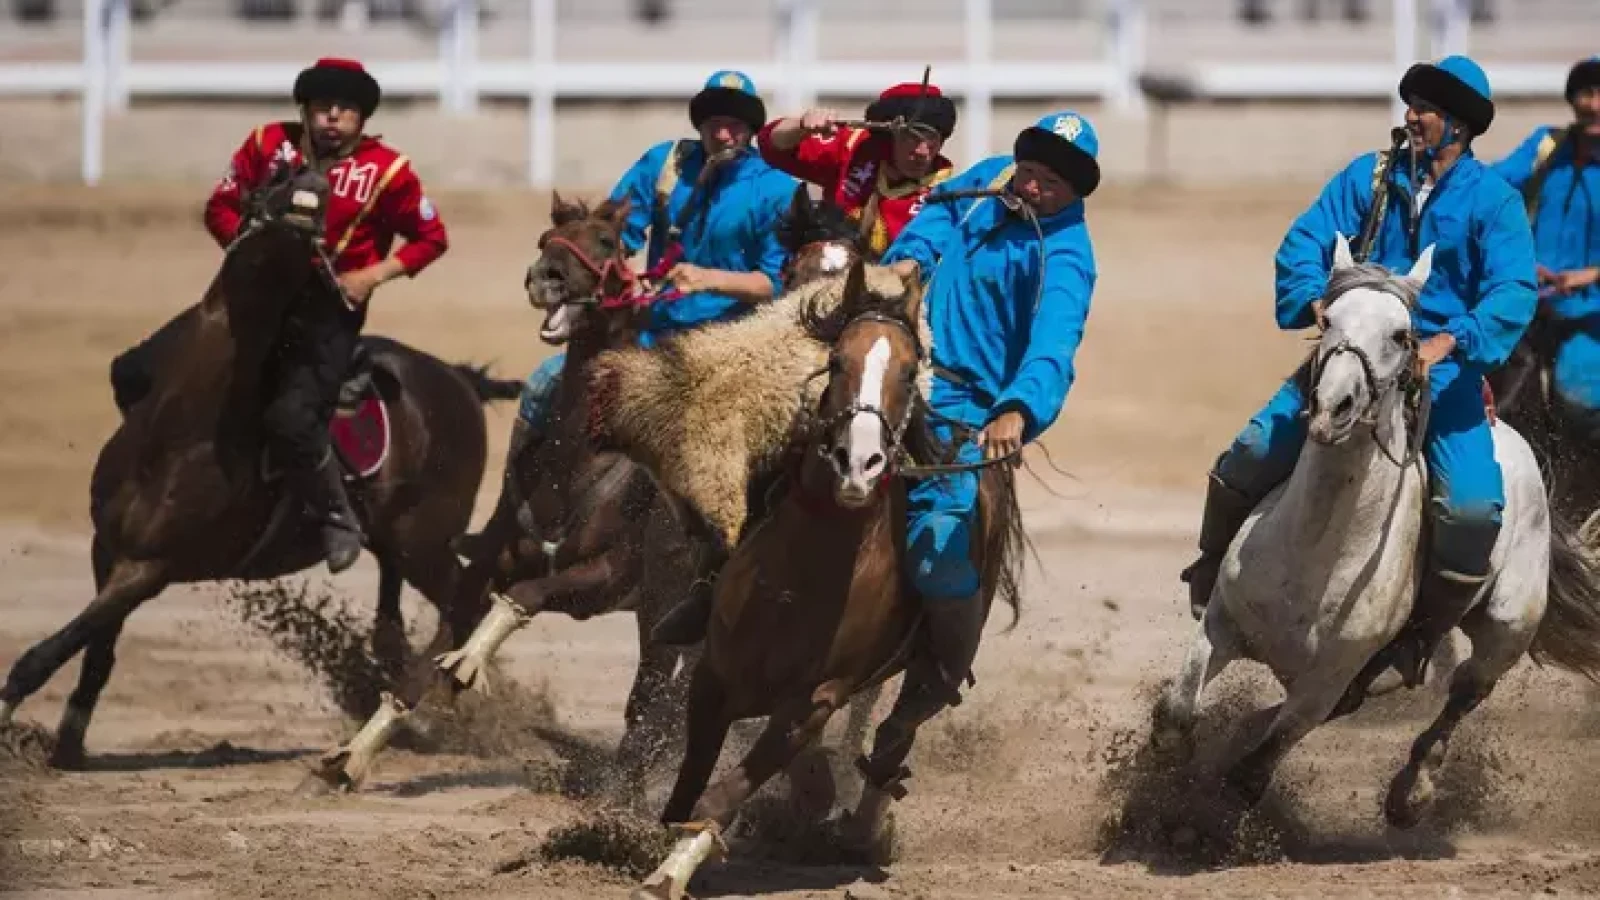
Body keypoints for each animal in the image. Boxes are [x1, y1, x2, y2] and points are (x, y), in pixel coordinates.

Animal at [0, 164, 518, 768]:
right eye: (276, 174)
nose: (309, 189)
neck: (184, 426)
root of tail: (460, 380)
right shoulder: (106, 549)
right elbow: (95, 651)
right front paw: (68, 743)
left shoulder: (149, 568)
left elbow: (50, 650)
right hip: (401, 542)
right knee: (399, 612)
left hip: (427, 544)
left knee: (466, 603)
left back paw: (428, 700)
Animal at [308, 190, 710, 791]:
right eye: (547, 240)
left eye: (607, 241)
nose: (546, 277)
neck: (577, 467)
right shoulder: (481, 572)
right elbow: (419, 669)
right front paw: (352, 756)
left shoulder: (601, 580)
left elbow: (525, 595)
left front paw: (468, 666)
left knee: (658, 697)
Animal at [627, 257, 1024, 896]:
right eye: (836, 361)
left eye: (910, 372)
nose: (857, 465)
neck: (800, 578)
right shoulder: (713, 673)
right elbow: (689, 785)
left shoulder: (813, 701)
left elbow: (721, 797)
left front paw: (670, 871)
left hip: (931, 666)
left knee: (895, 738)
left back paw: (861, 831)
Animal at [1158, 235, 1600, 839]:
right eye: (1327, 318)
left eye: (1401, 335)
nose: (1333, 407)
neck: (1315, 549)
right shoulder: (1222, 624)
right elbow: (1180, 713)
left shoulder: (1325, 682)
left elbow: (1251, 771)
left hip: (1507, 630)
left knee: (1463, 695)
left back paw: (1411, 793)